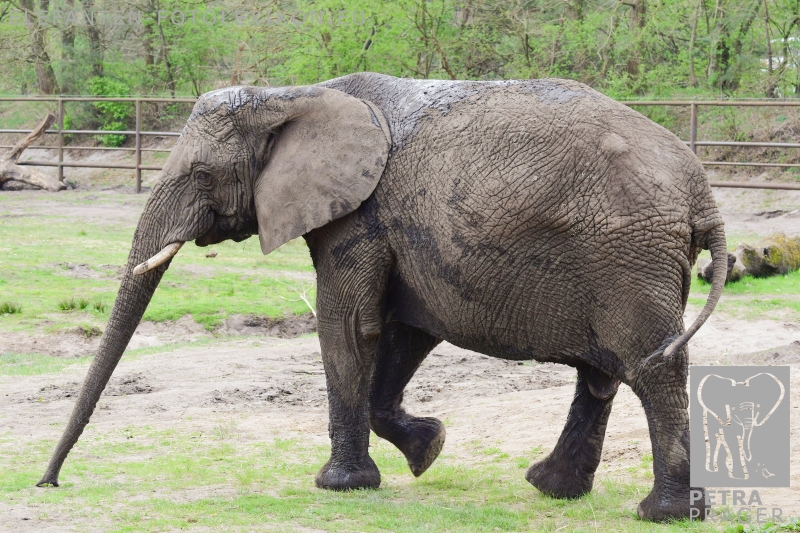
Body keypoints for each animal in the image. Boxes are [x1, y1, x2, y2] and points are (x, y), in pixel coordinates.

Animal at [36, 73, 728, 522]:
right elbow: (403, 332)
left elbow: (349, 327)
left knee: (650, 368)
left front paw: (339, 487)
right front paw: (430, 449)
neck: (292, 94)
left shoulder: (360, 214)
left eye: (199, 175)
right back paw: (552, 489)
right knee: (602, 371)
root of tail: (703, 195)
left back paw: (663, 513)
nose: (49, 482)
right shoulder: (394, 228)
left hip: (628, 255)